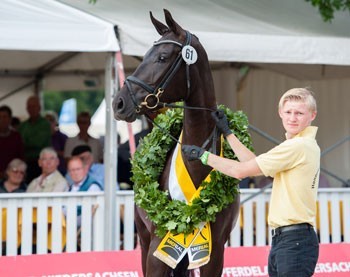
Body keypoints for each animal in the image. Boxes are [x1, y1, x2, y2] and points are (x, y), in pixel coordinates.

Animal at [113, 9, 239, 274]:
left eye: (162, 57)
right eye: (144, 56)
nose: (119, 102)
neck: (197, 159)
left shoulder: (214, 251)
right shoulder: (157, 249)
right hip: (145, 241)